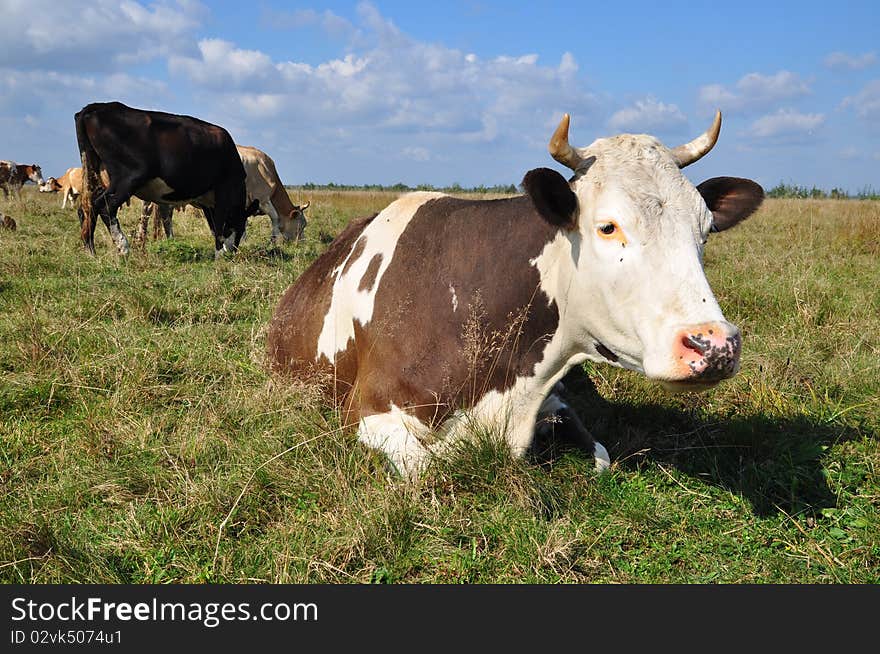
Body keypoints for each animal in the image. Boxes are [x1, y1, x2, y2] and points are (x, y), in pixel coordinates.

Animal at [75, 101, 248, 258]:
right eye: (241, 227)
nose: (233, 252)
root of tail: (98, 106)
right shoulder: (224, 190)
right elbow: (218, 226)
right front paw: (219, 256)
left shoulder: (208, 201)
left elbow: (213, 226)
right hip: (129, 177)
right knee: (105, 206)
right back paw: (123, 248)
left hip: (95, 172)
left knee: (87, 207)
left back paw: (91, 253)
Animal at [266, 111, 764, 482]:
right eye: (608, 226)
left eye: (705, 229)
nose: (714, 344)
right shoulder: (369, 408)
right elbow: (431, 469)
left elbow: (601, 456)